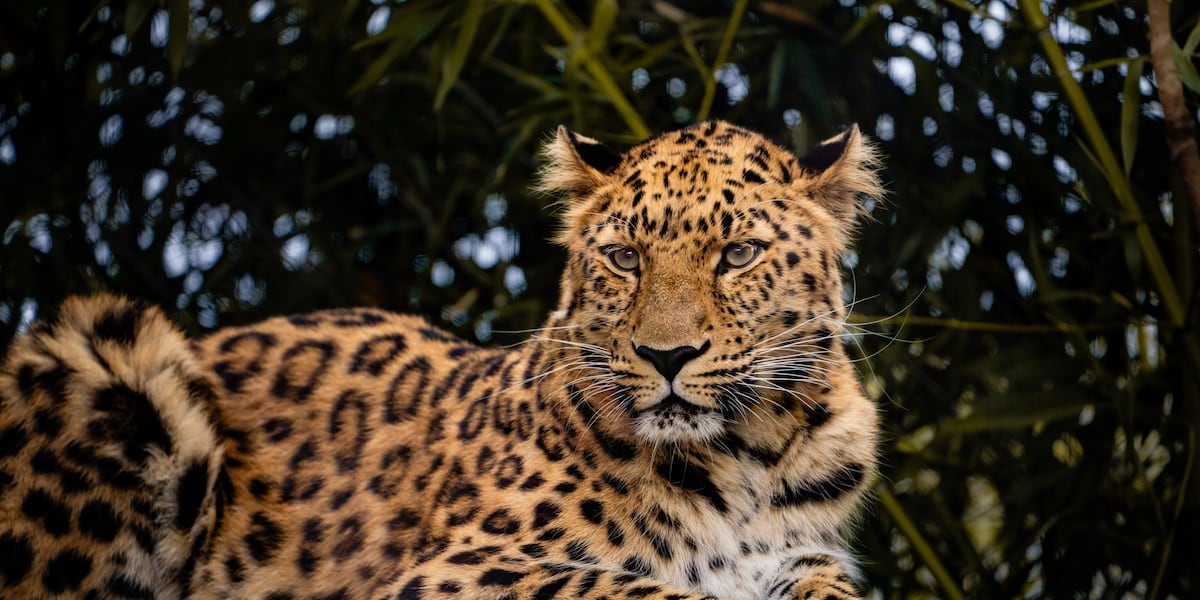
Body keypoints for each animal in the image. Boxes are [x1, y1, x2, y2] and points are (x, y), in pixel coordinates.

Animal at [0, 119, 884, 600]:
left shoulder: (804, 552)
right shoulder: (462, 569)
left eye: (737, 255)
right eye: (625, 258)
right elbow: (633, 584)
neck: (747, 458)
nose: (666, 356)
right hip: (100, 354)